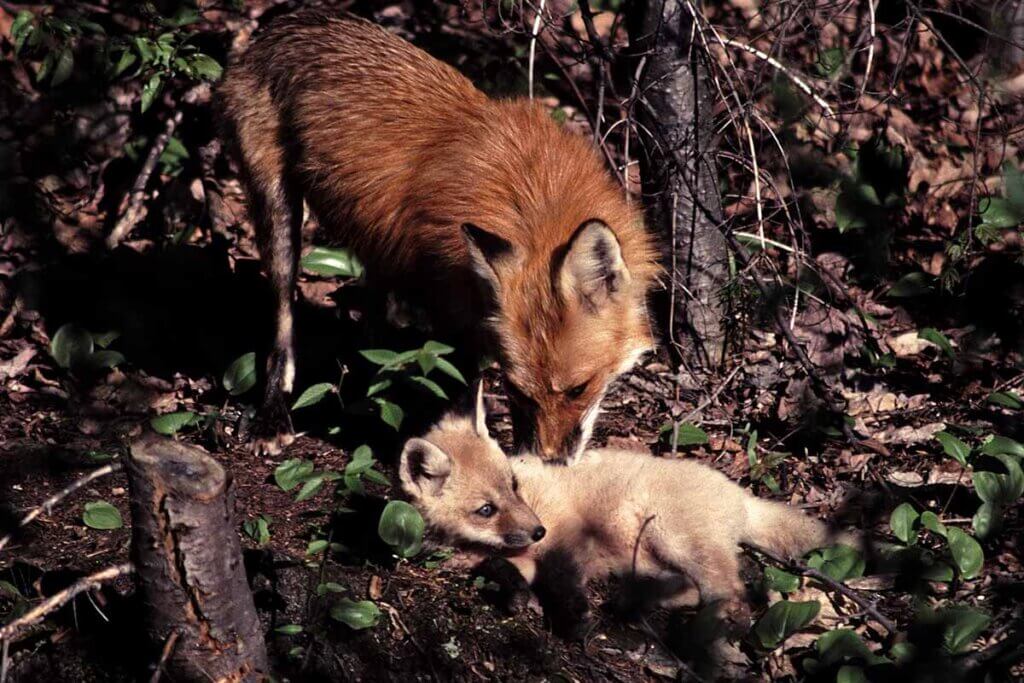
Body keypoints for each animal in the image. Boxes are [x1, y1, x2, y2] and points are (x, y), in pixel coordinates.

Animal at [220, 9, 659, 454]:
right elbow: (464, 400)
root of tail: (289, 21)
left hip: (374, 244)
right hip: (279, 217)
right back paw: (273, 413)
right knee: (282, 330)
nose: (550, 462)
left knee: (371, 323)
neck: (534, 195)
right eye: (517, 391)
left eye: (578, 389)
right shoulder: (455, 312)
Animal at [399, 387, 856, 638]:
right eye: (486, 509)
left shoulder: (568, 536)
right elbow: (499, 569)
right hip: (647, 558)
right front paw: (515, 596)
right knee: (693, 588)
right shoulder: (515, 555)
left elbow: (562, 580)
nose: (537, 530)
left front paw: (573, 619)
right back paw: (635, 603)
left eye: (514, 485)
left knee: (732, 591)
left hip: (673, 538)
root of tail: (738, 492)